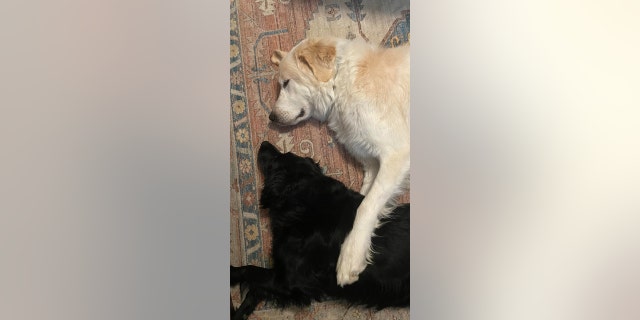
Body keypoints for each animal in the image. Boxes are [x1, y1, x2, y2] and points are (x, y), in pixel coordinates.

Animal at [230, 142, 410, 320]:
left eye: (278, 157)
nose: (264, 143)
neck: (305, 200)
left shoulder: (290, 281)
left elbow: (250, 270)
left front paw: (232, 274)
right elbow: (255, 289)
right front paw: (241, 311)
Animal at [270, 37, 410, 284]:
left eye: (286, 83)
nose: (271, 117)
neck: (340, 82)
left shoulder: (396, 154)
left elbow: (365, 207)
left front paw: (351, 254)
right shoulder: (372, 165)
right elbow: (360, 202)